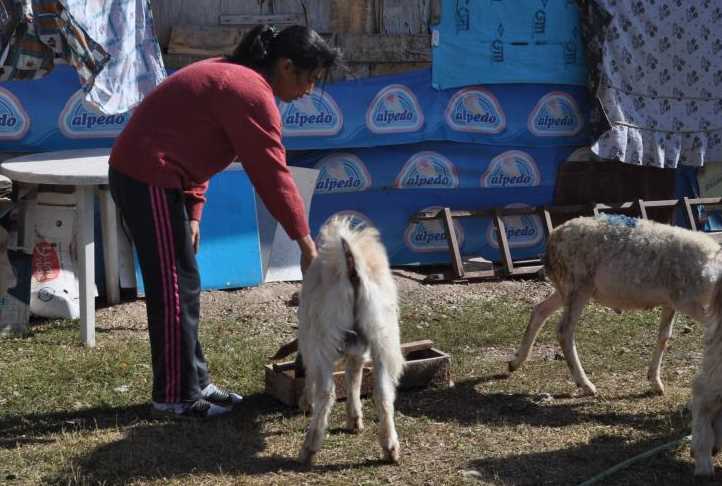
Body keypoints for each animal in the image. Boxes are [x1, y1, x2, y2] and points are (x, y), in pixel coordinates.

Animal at [294, 217, 404, 468]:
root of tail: (352, 266)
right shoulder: (358, 348)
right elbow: (354, 376)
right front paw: (354, 420)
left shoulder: (311, 344)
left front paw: (306, 402)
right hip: (382, 335)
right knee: (383, 392)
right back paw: (390, 448)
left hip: (322, 339)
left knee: (326, 392)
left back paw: (309, 449)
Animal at [506, 215, 720, 396]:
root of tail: (551, 241)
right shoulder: (686, 301)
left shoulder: (671, 301)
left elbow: (664, 337)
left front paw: (655, 382)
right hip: (578, 285)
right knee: (564, 331)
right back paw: (586, 384)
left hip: (564, 289)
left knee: (539, 310)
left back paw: (515, 362)